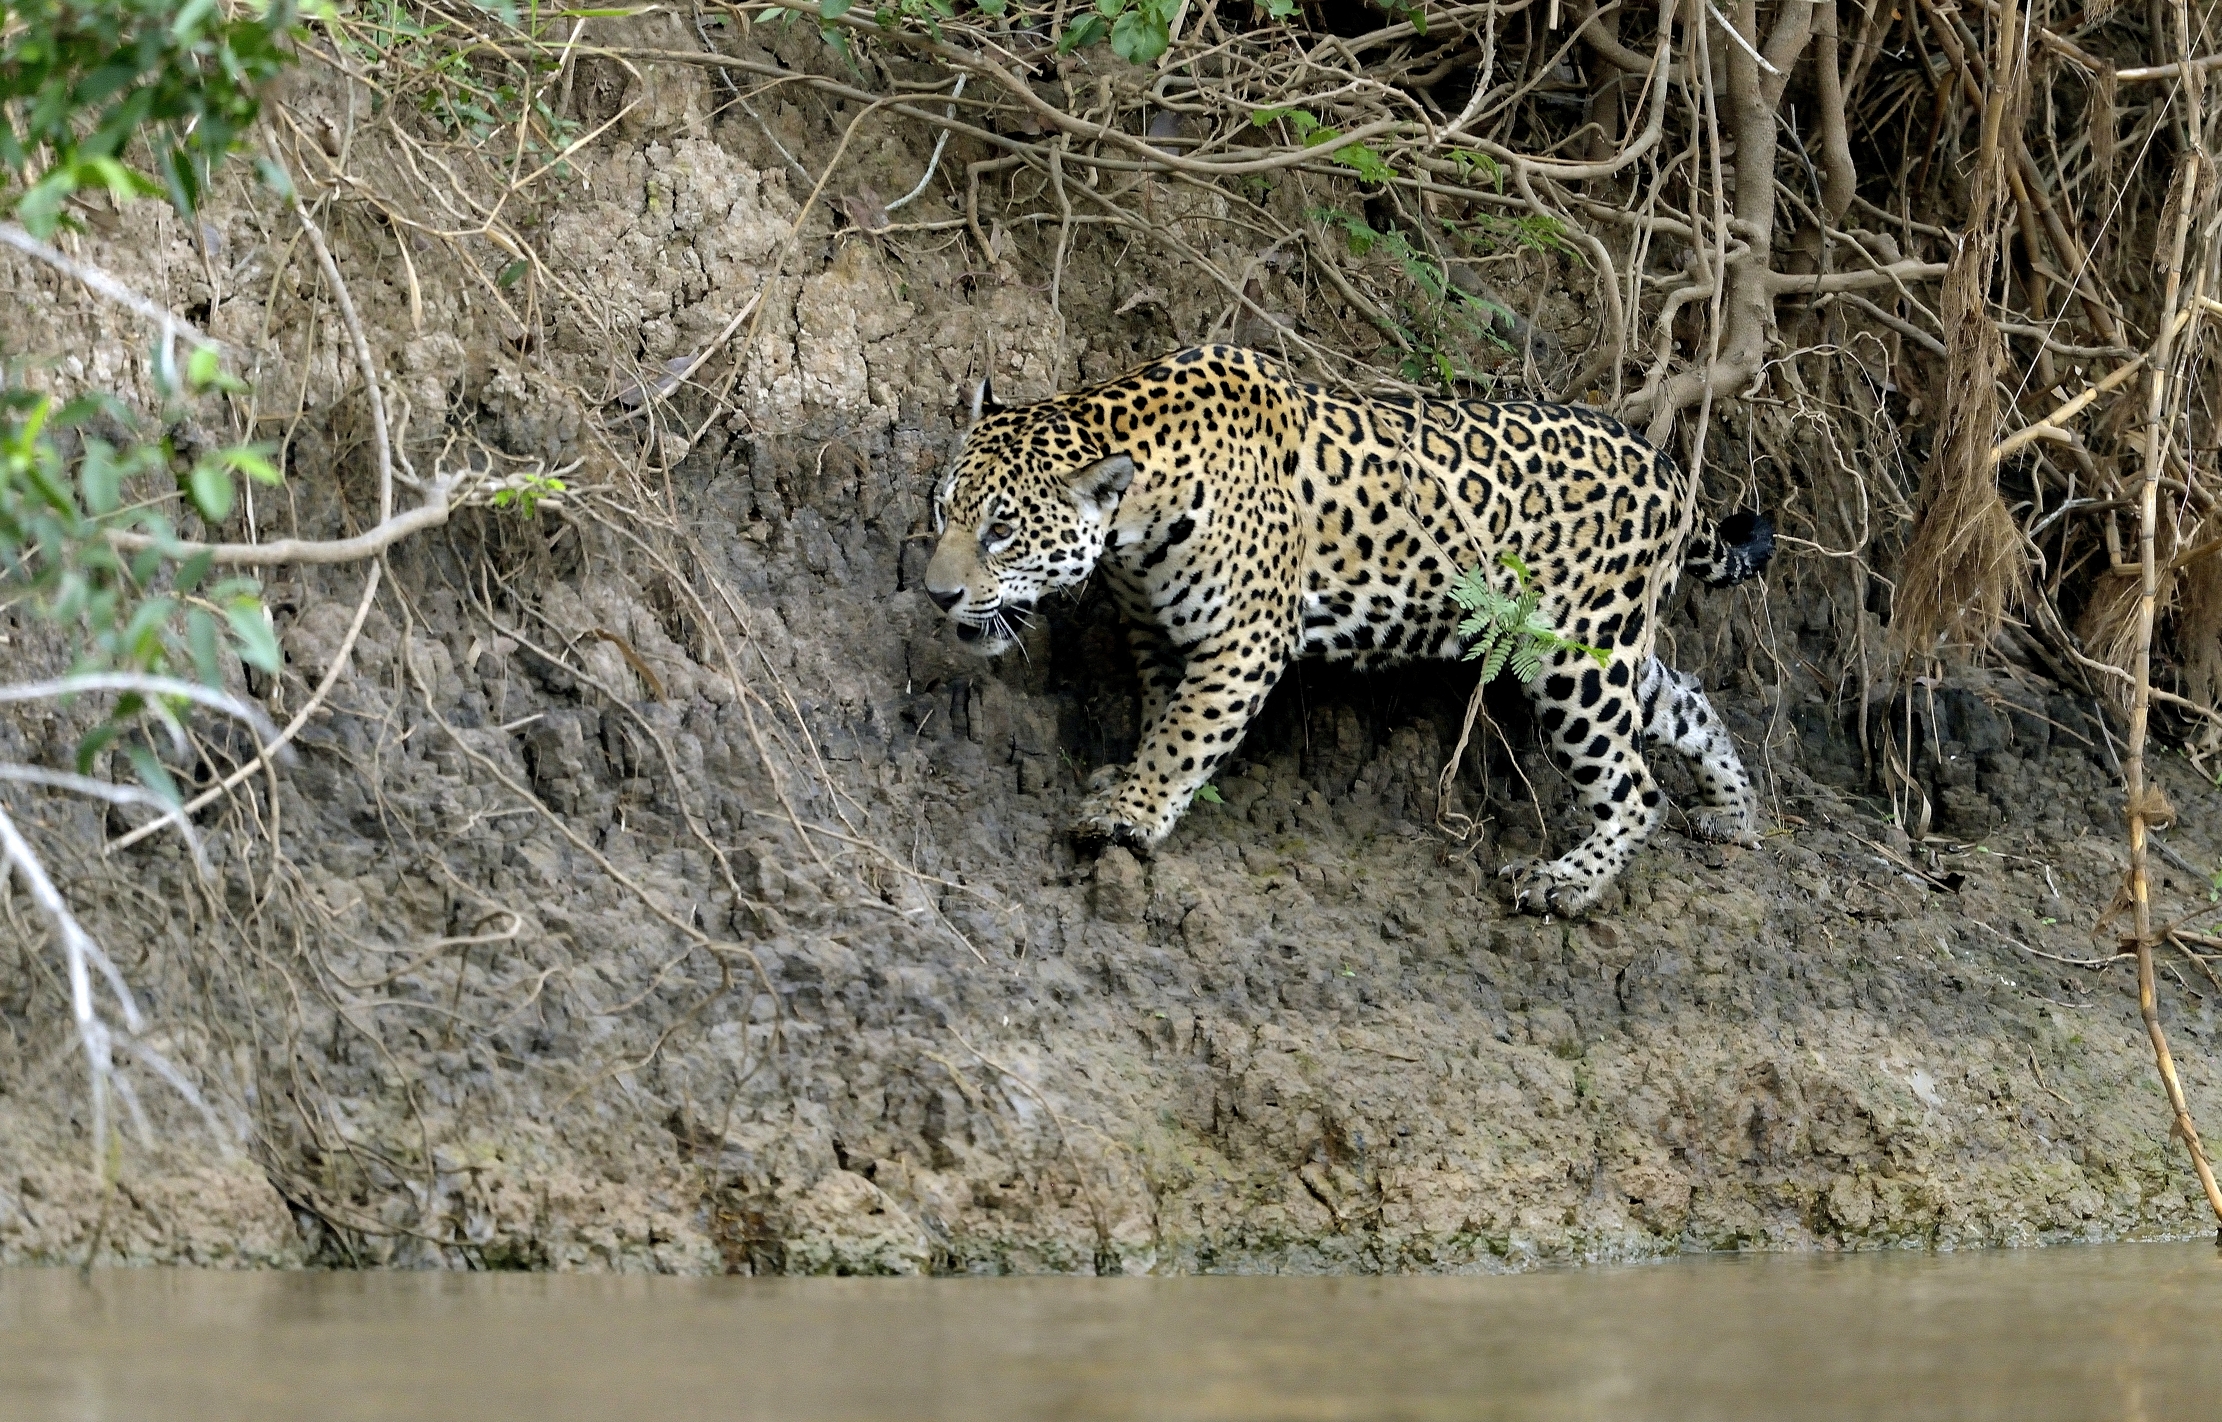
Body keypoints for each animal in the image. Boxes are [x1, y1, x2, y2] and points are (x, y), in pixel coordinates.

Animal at [922, 346, 1775, 915]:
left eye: (1001, 530)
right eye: (942, 510)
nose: (937, 593)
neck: (1136, 519)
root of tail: (1670, 469)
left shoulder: (1242, 641)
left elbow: (1187, 732)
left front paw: (1128, 814)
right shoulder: (1155, 633)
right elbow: (1163, 717)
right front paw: (1133, 784)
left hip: (1575, 662)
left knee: (1634, 788)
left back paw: (1564, 881)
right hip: (1597, 643)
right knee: (1685, 697)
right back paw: (1732, 816)